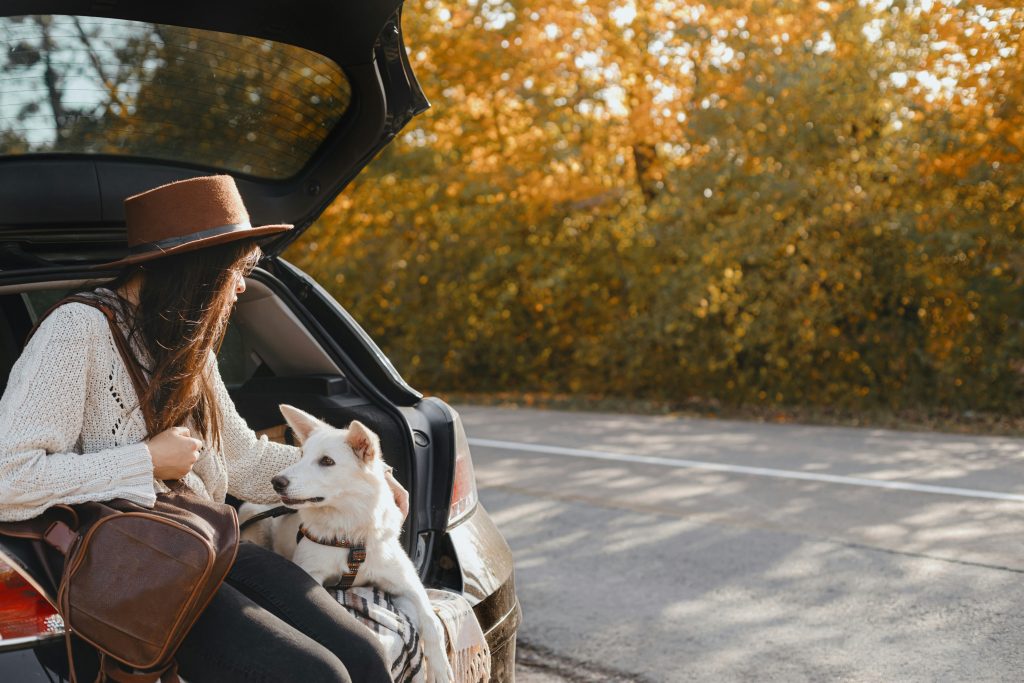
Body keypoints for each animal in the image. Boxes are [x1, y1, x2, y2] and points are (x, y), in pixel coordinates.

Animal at [241, 405, 454, 683]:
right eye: (301, 455)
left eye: (326, 461)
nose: (277, 482)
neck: (349, 533)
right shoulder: (310, 574)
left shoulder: (408, 581)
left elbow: (431, 621)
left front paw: (440, 668)